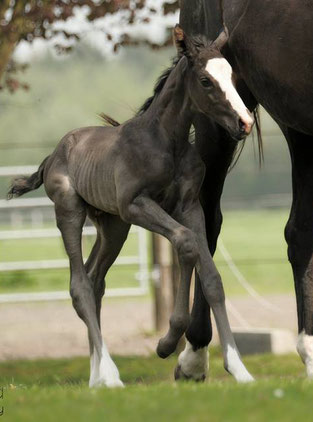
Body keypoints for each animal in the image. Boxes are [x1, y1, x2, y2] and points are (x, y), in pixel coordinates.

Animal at [7, 28, 254, 388]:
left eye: (233, 77)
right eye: (206, 80)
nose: (244, 122)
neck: (167, 142)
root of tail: (54, 153)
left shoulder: (188, 206)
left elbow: (210, 277)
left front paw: (238, 368)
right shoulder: (135, 206)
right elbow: (186, 243)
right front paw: (166, 343)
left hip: (112, 226)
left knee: (95, 280)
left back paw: (96, 377)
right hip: (71, 211)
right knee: (80, 285)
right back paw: (109, 375)